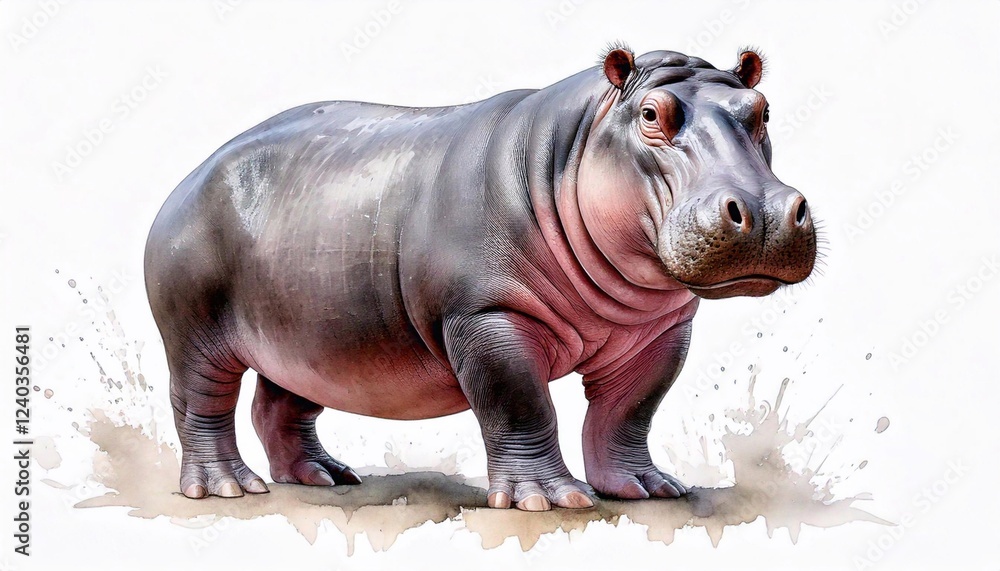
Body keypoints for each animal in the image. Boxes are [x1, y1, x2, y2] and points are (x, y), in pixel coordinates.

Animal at [144, 45, 816, 512]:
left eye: (761, 111)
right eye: (651, 114)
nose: (761, 212)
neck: (579, 142)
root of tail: (191, 172)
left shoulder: (659, 332)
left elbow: (630, 411)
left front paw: (647, 488)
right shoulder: (486, 315)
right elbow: (520, 403)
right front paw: (549, 500)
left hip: (316, 335)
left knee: (283, 402)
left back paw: (325, 477)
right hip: (198, 330)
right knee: (200, 401)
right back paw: (228, 488)